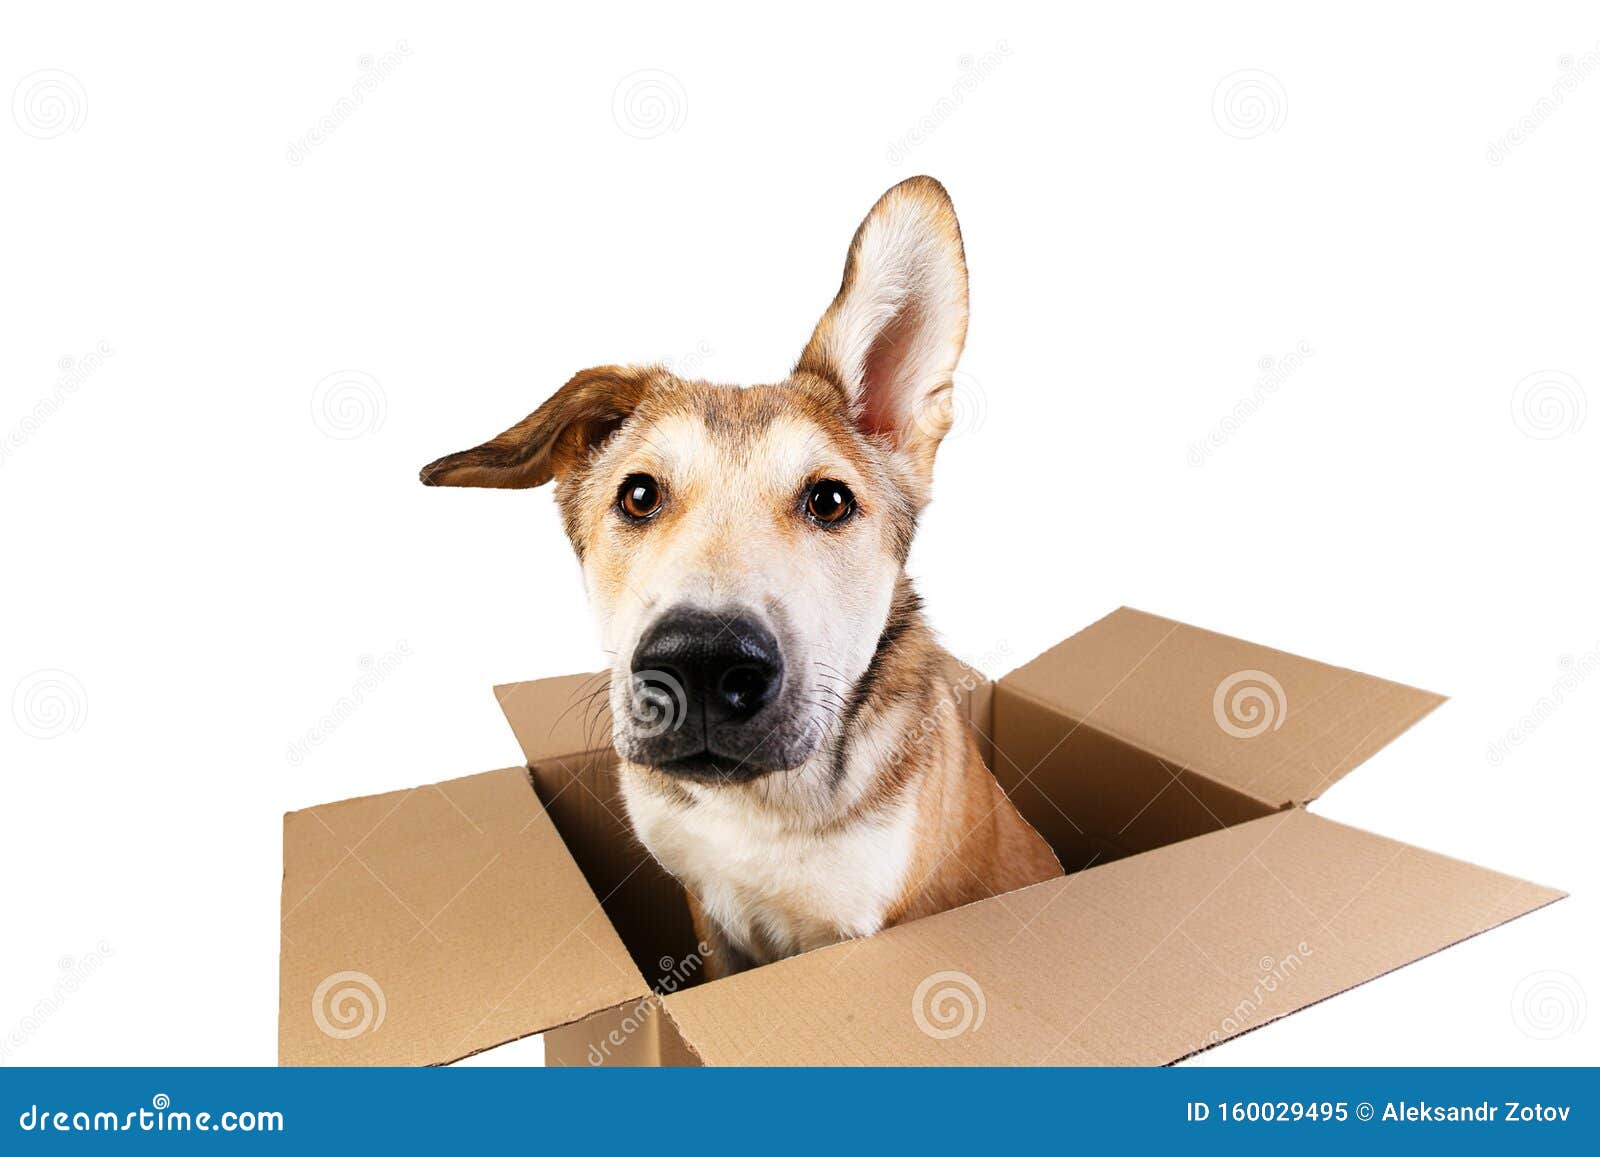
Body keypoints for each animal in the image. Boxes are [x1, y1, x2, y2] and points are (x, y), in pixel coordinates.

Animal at [422, 178, 1062, 979]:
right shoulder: (706, 904)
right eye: (638, 494)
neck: (753, 810)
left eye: (830, 500)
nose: (700, 663)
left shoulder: (848, 932)